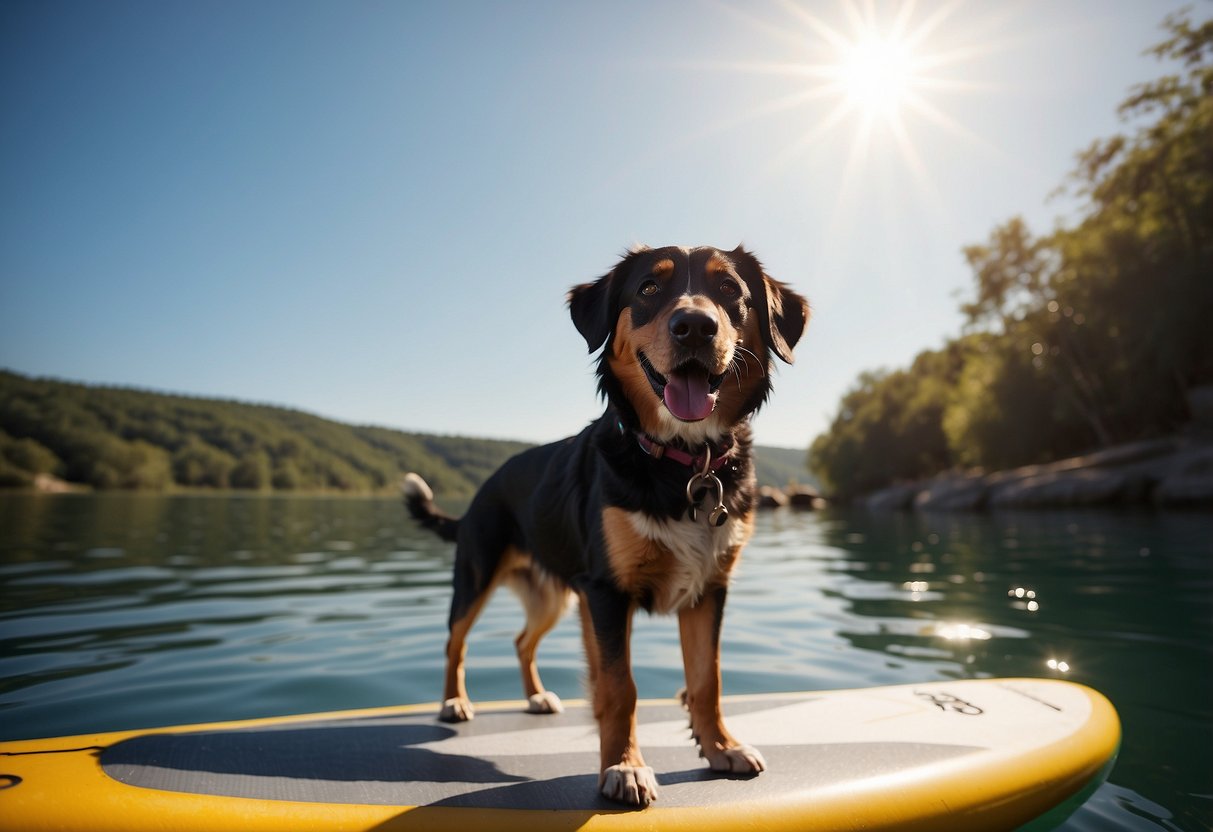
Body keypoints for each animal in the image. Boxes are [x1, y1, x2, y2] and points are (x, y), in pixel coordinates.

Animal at [402, 244, 810, 805]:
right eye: (648, 289)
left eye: (730, 289)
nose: (695, 327)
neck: (683, 461)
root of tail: (484, 489)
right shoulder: (606, 592)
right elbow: (620, 688)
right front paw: (624, 766)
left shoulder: (709, 589)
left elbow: (707, 680)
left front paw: (721, 746)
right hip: (477, 577)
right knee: (454, 642)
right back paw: (454, 703)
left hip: (552, 596)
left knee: (522, 642)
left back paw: (536, 697)